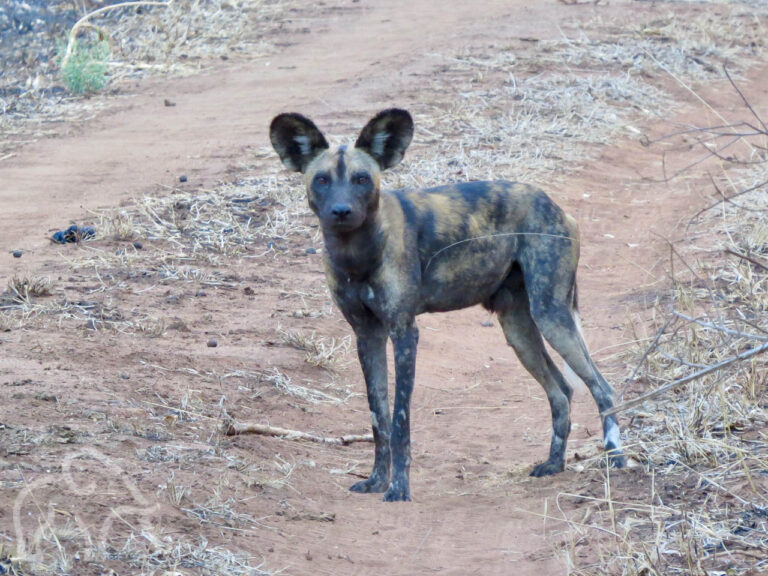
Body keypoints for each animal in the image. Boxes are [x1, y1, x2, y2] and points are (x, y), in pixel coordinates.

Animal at [270, 110, 624, 502]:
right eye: (322, 180)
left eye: (361, 179)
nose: (341, 211)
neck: (356, 254)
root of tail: (556, 206)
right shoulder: (367, 335)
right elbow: (378, 416)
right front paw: (376, 480)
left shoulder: (404, 332)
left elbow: (399, 420)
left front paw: (398, 488)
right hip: (519, 330)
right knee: (561, 391)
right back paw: (553, 464)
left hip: (552, 317)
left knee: (603, 388)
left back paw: (616, 460)